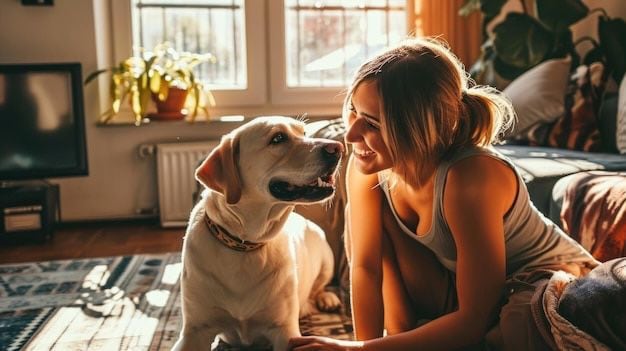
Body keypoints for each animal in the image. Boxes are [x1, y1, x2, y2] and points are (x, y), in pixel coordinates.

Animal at [172, 116, 342, 351]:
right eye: (278, 138)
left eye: (305, 133)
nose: (338, 148)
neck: (245, 243)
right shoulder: (194, 332)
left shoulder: (284, 331)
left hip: (326, 253)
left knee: (320, 286)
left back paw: (326, 300)